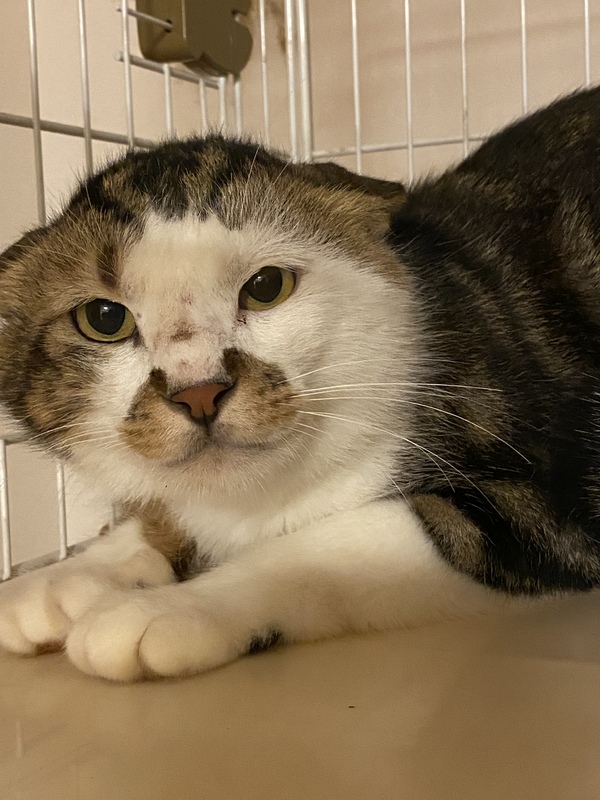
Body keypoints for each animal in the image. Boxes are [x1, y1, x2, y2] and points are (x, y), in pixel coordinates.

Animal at [1, 86, 600, 682]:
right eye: (104, 318)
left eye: (267, 286)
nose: (198, 391)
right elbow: (164, 517)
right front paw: (67, 576)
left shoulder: (548, 512)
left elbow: (327, 546)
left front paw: (169, 608)